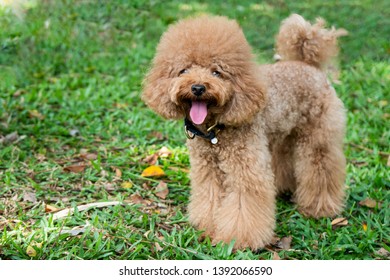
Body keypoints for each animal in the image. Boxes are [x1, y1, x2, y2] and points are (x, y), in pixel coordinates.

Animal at [142, 13, 348, 249]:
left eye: (217, 72)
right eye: (183, 70)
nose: (198, 88)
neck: (214, 130)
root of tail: (308, 64)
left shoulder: (245, 169)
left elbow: (243, 205)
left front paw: (237, 240)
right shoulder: (207, 169)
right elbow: (210, 198)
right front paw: (208, 225)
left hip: (317, 135)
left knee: (321, 167)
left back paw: (319, 207)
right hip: (282, 132)